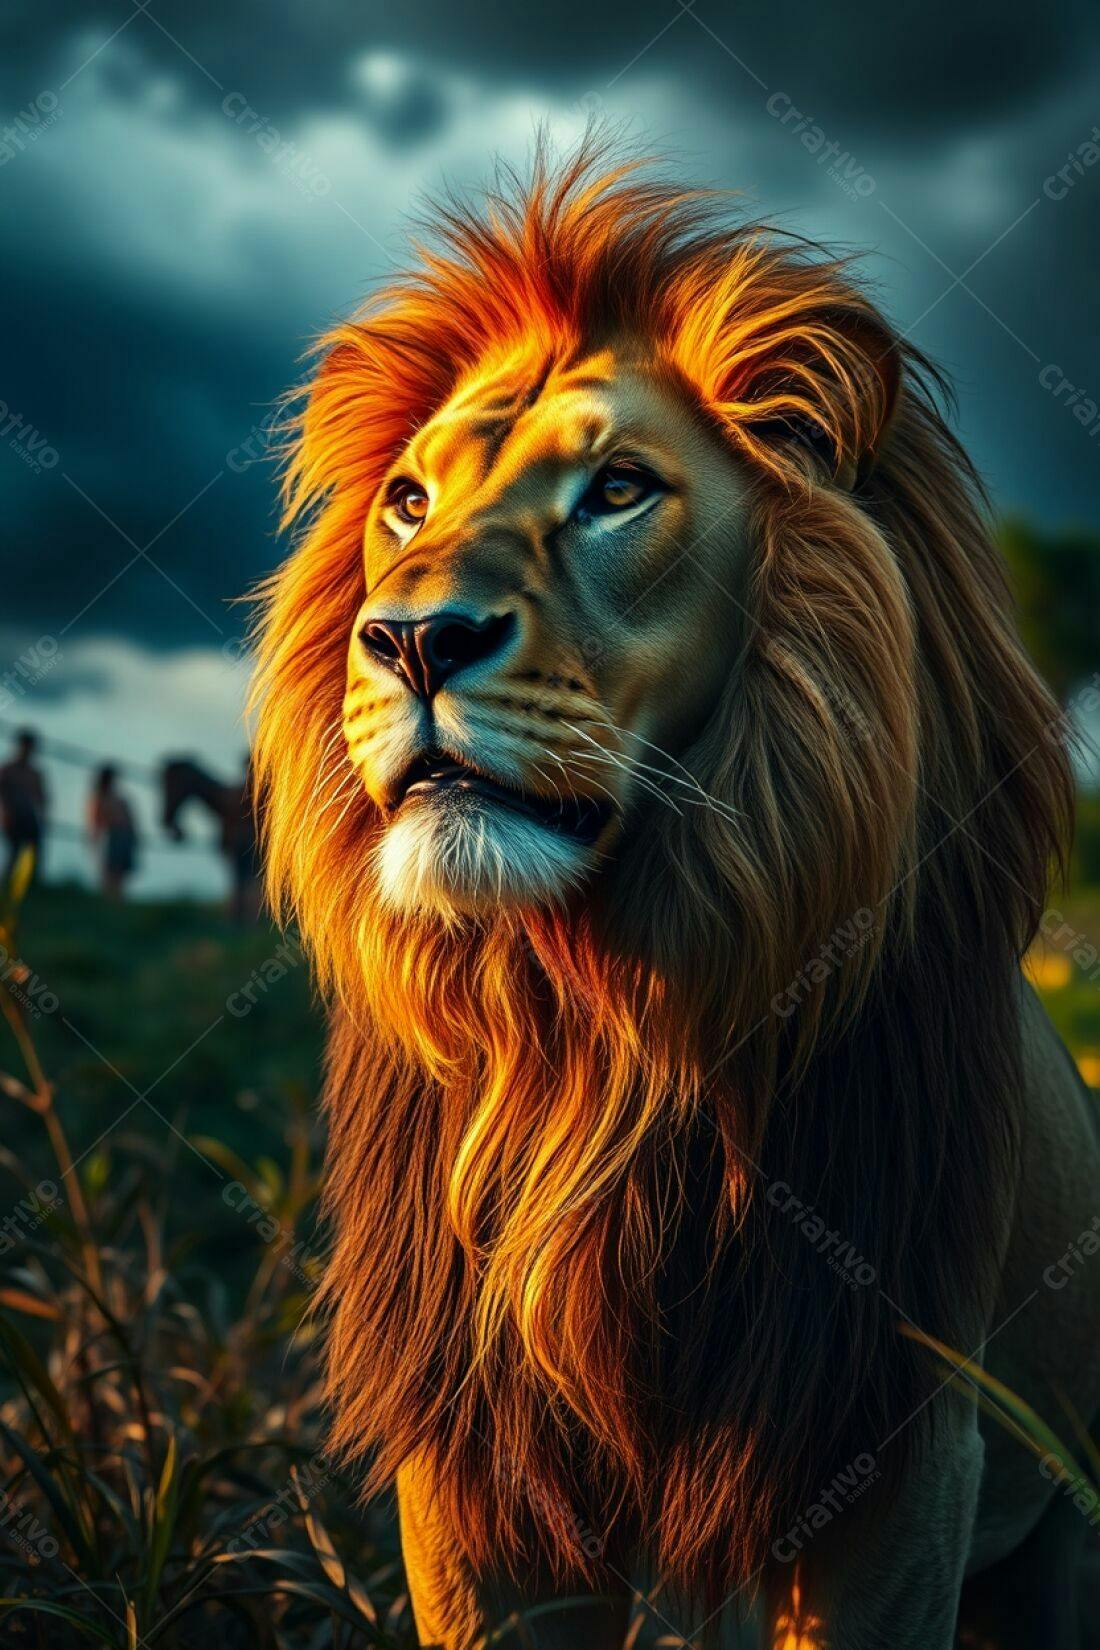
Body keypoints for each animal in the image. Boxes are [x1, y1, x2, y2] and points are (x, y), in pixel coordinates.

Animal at [251, 139, 1100, 1649]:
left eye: (618, 489)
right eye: (408, 501)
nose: (411, 638)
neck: (593, 1029)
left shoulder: (884, 1445)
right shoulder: (476, 1467)